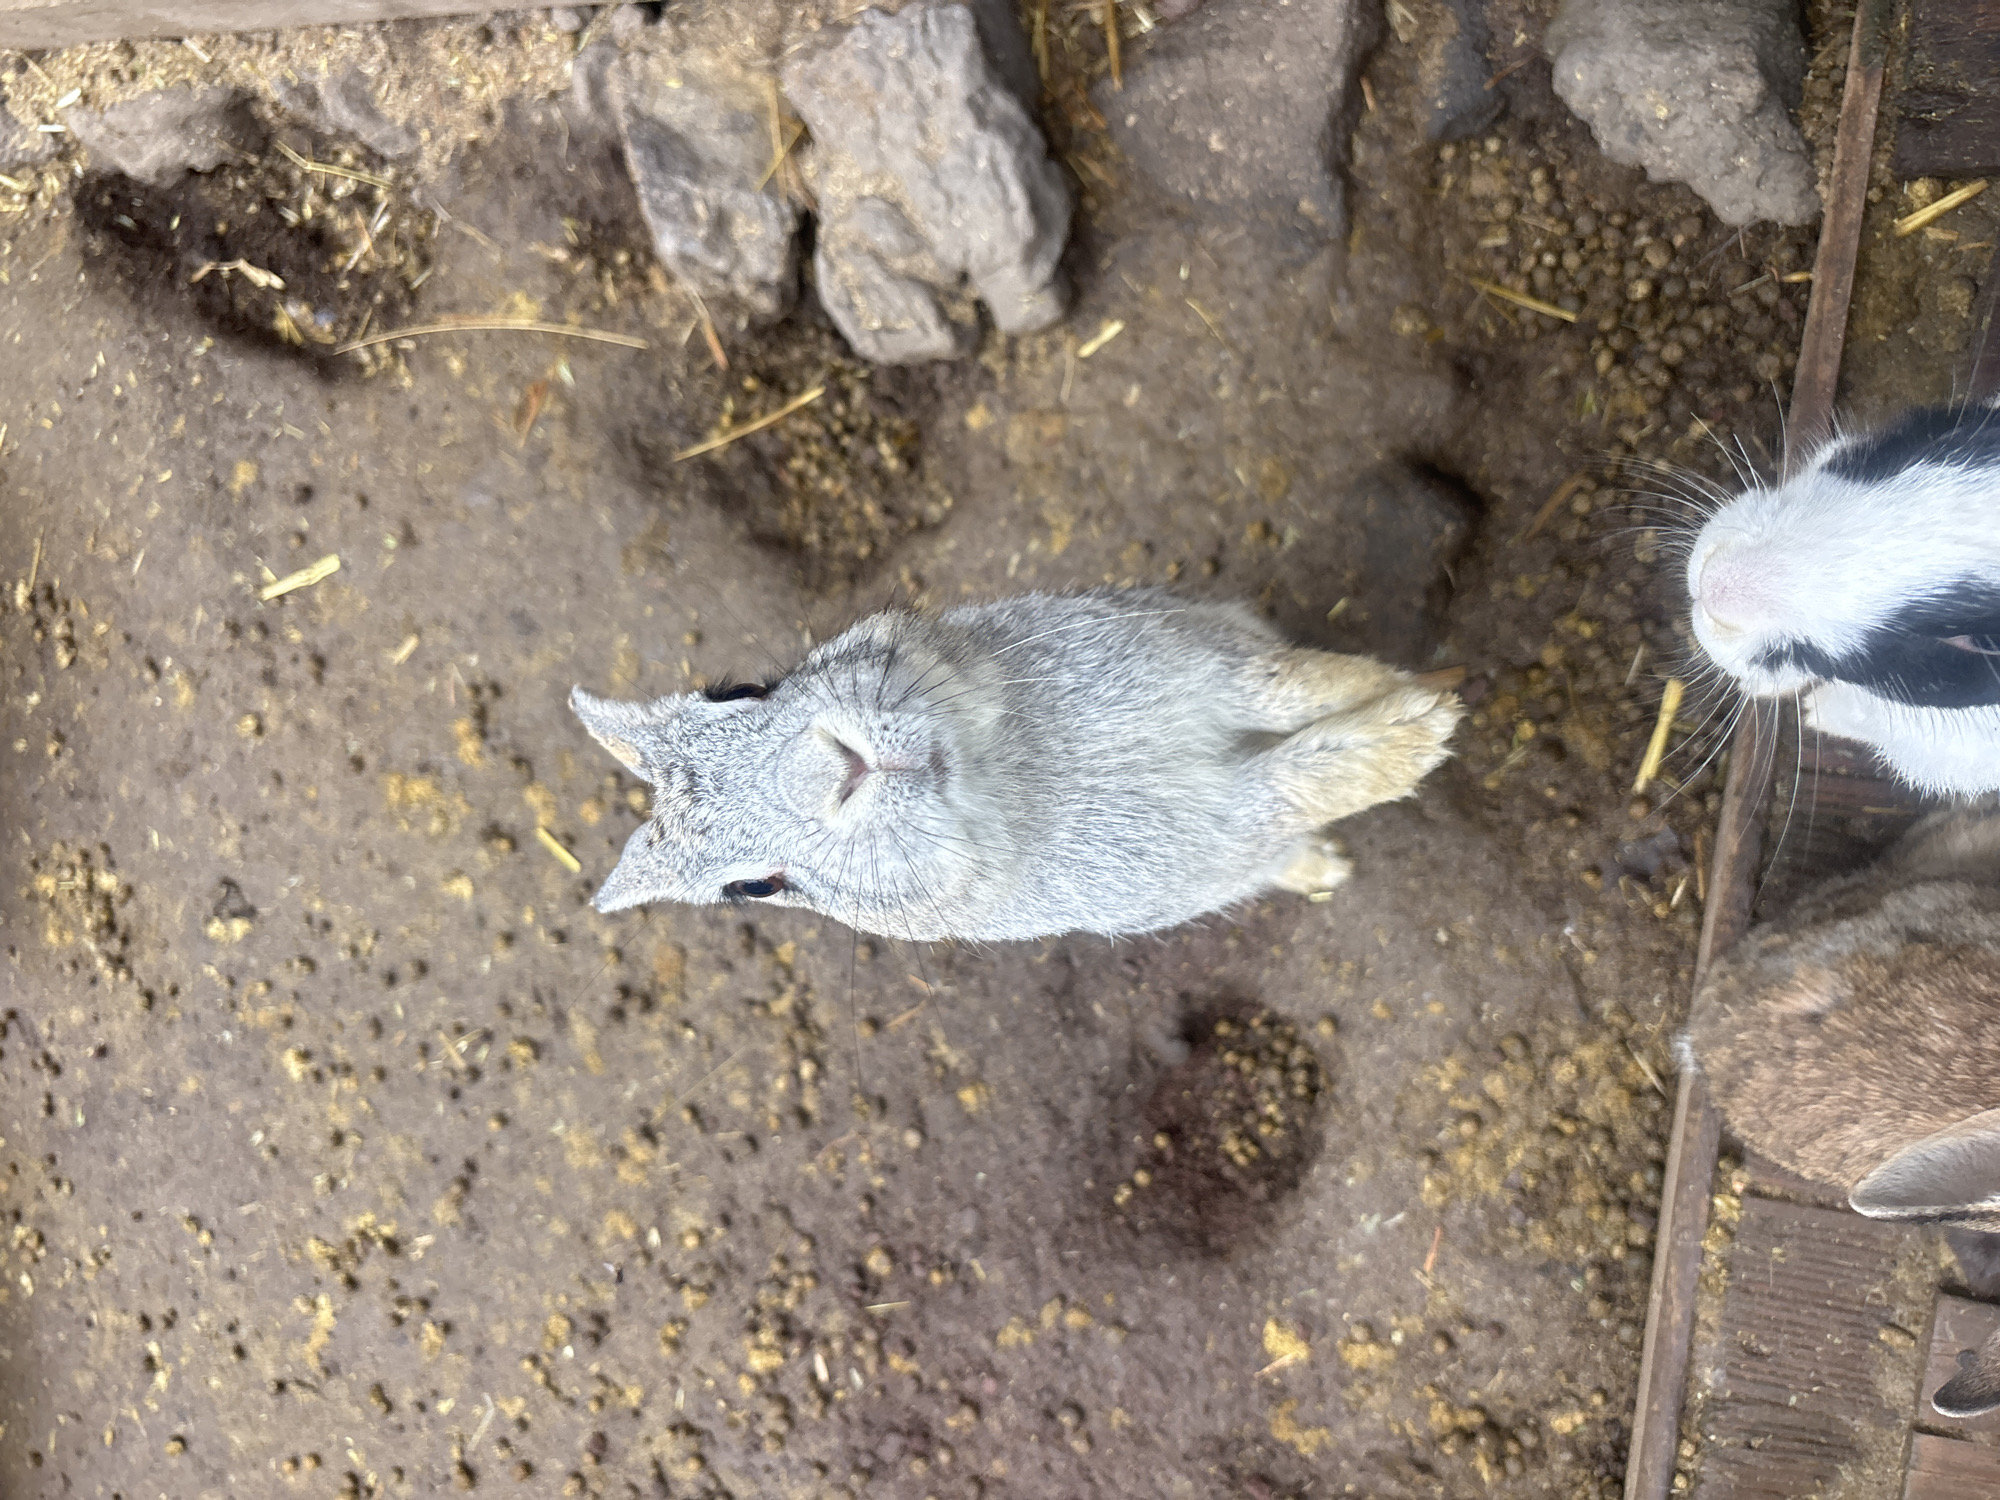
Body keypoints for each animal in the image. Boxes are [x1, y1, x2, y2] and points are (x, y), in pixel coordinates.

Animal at [569, 587, 1462, 943]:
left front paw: (1414, 695)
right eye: (757, 888)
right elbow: (1286, 786)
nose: (831, 775)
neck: (1001, 772)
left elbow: (1296, 685)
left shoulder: (1207, 664)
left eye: (742, 688)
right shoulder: (1209, 836)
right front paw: (1419, 733)